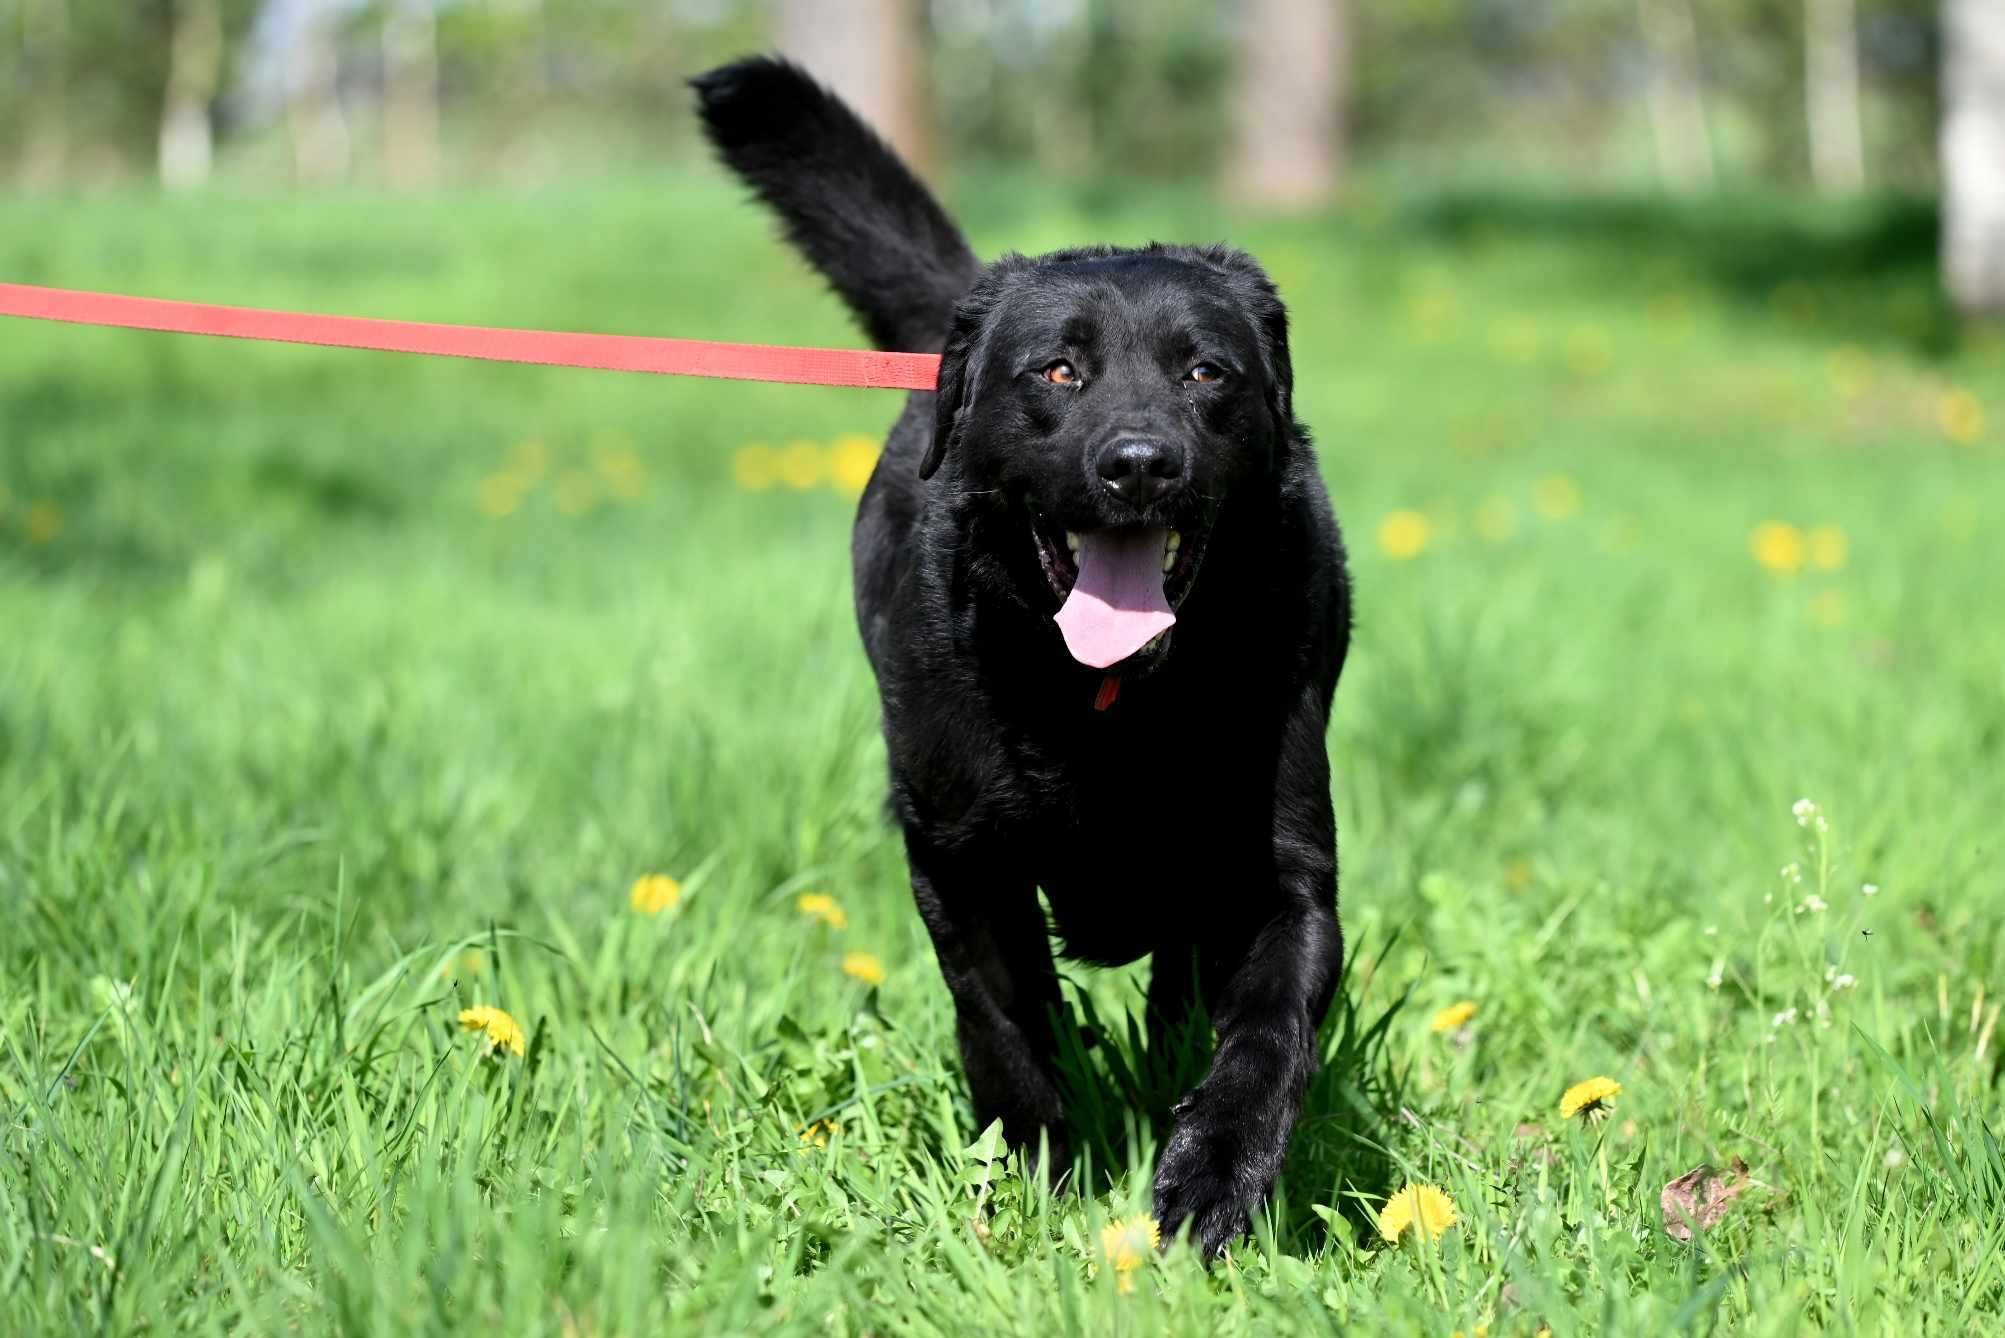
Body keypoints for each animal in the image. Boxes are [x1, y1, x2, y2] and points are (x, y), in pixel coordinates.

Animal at [697, 60, 1355, 1259]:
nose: (1138, 463)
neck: (1107, 699)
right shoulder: (960, 862)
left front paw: (1214, 1177)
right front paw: (1043, 1173)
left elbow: (1268, 1035)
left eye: (1205, 373)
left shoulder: (1281, 867)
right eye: (1057, 371)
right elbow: (1005, 1027)